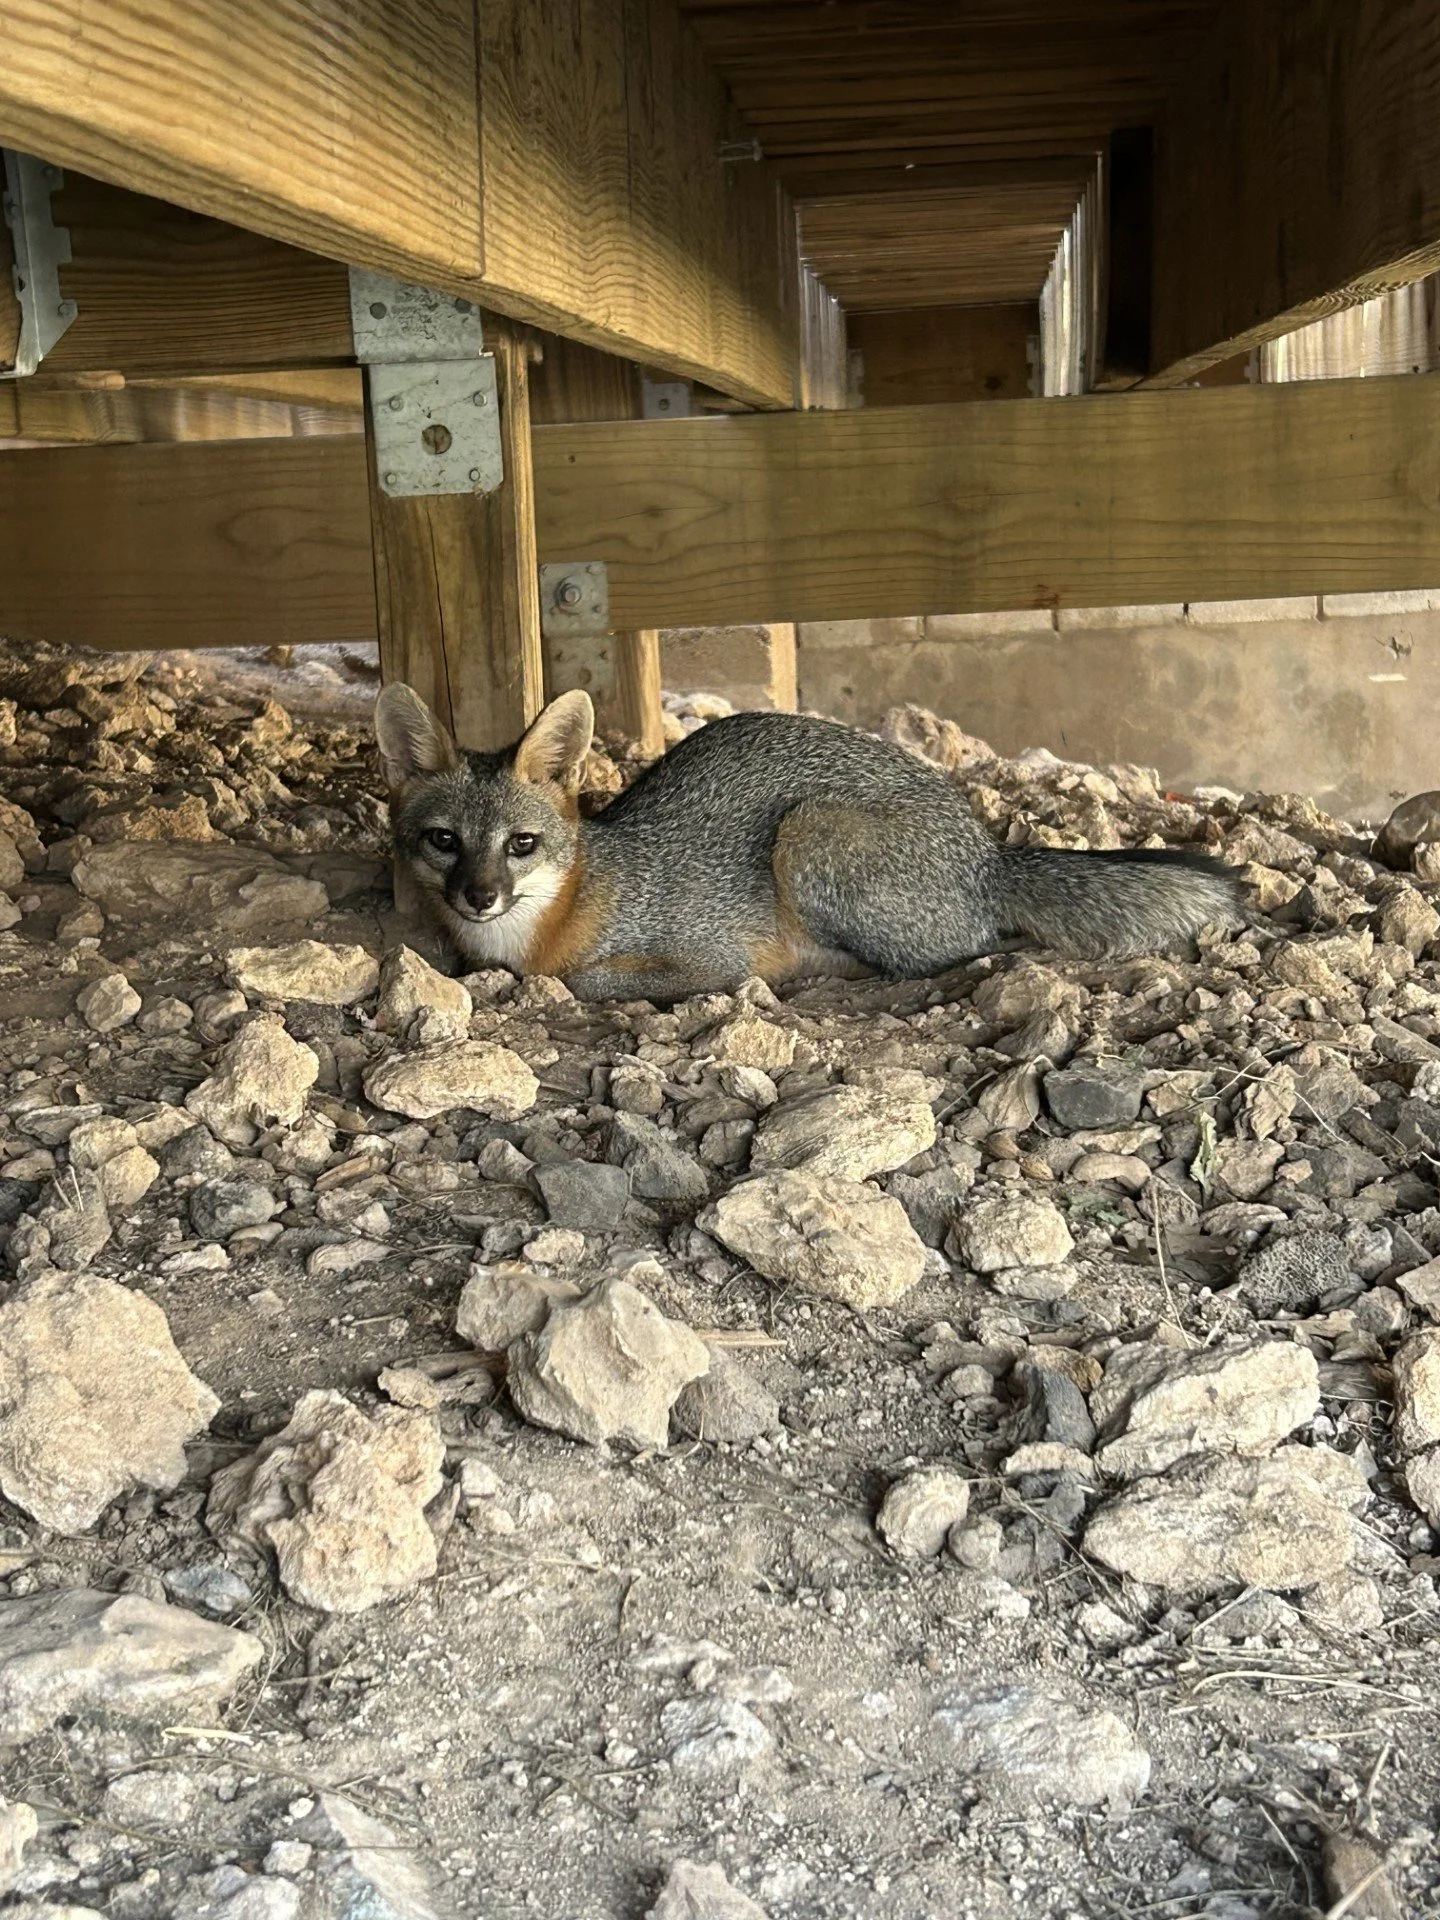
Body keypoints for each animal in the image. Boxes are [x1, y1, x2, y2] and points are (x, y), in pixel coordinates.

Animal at [375, 682, 1240, 1005]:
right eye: (444, 841)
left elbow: (591, 980)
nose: (479, 896)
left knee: (957, 953)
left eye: (521, 843)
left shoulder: (709, 955)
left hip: (807, 831)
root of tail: (988, 853)